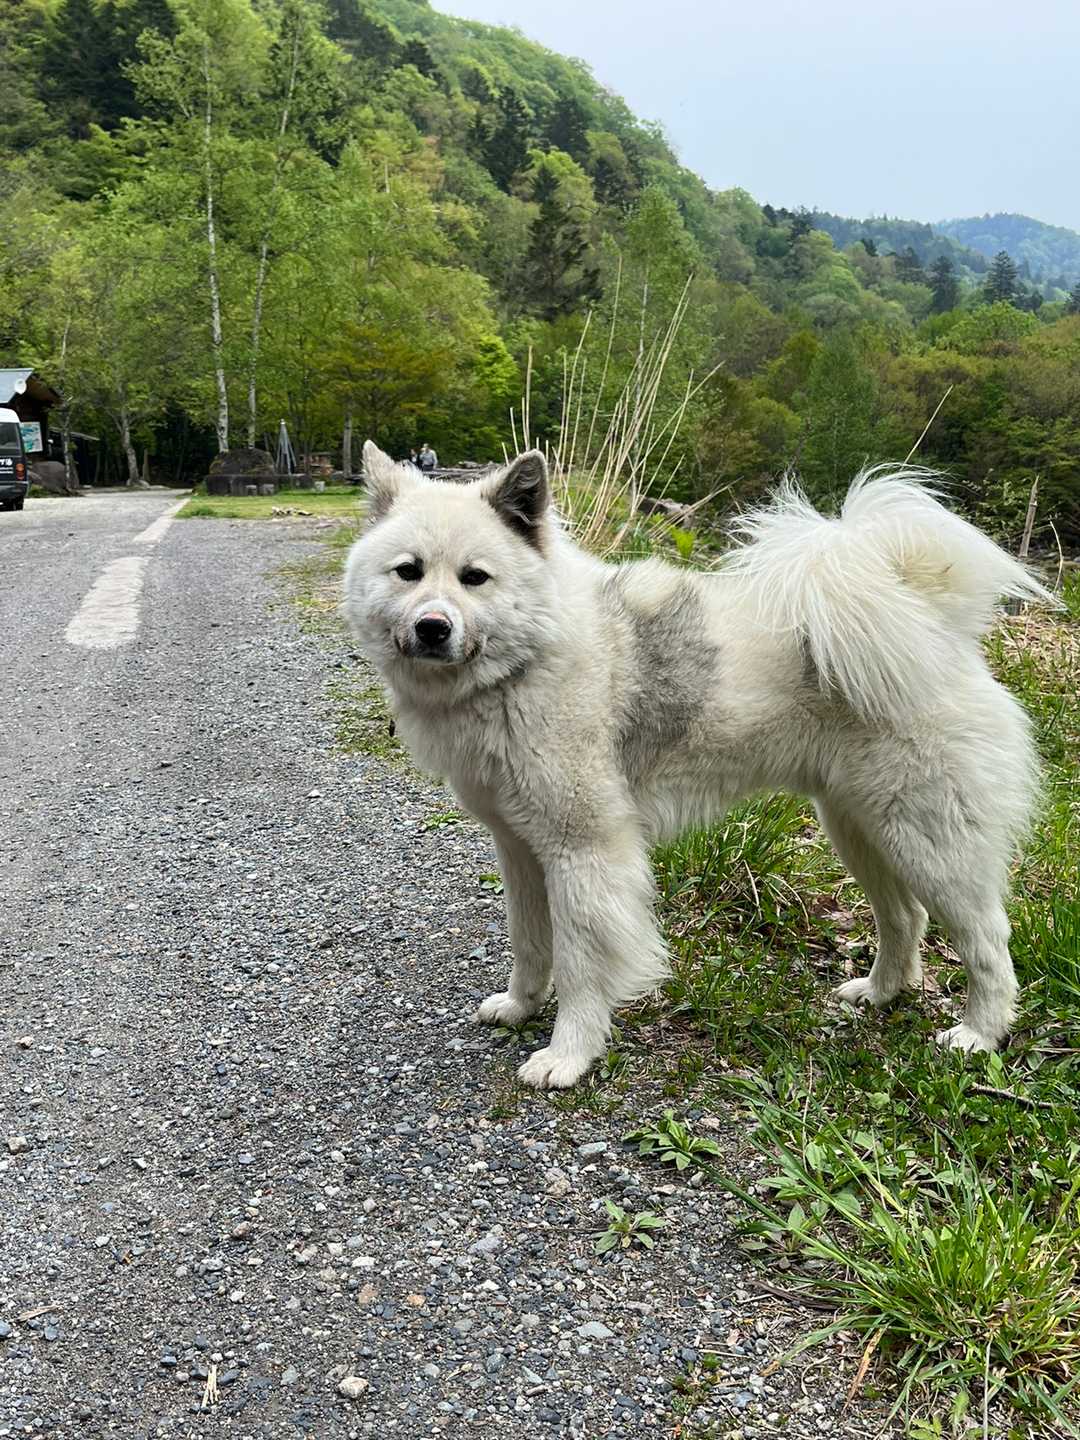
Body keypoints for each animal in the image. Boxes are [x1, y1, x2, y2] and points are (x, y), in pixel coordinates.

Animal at [342, 441, 1051, 1089]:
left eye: (474, 577)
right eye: (408, 572)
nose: (433, 627)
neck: (528, 660)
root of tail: (931, 620)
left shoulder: (585, 853)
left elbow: (580, 966)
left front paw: (567, 1056)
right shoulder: (520, 850)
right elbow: (529, 944)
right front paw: (520, 1007)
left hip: (931, 842)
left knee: (987, 940)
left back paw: (979, 1033)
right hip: (861, 828)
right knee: (904, 919)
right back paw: (879, 995)